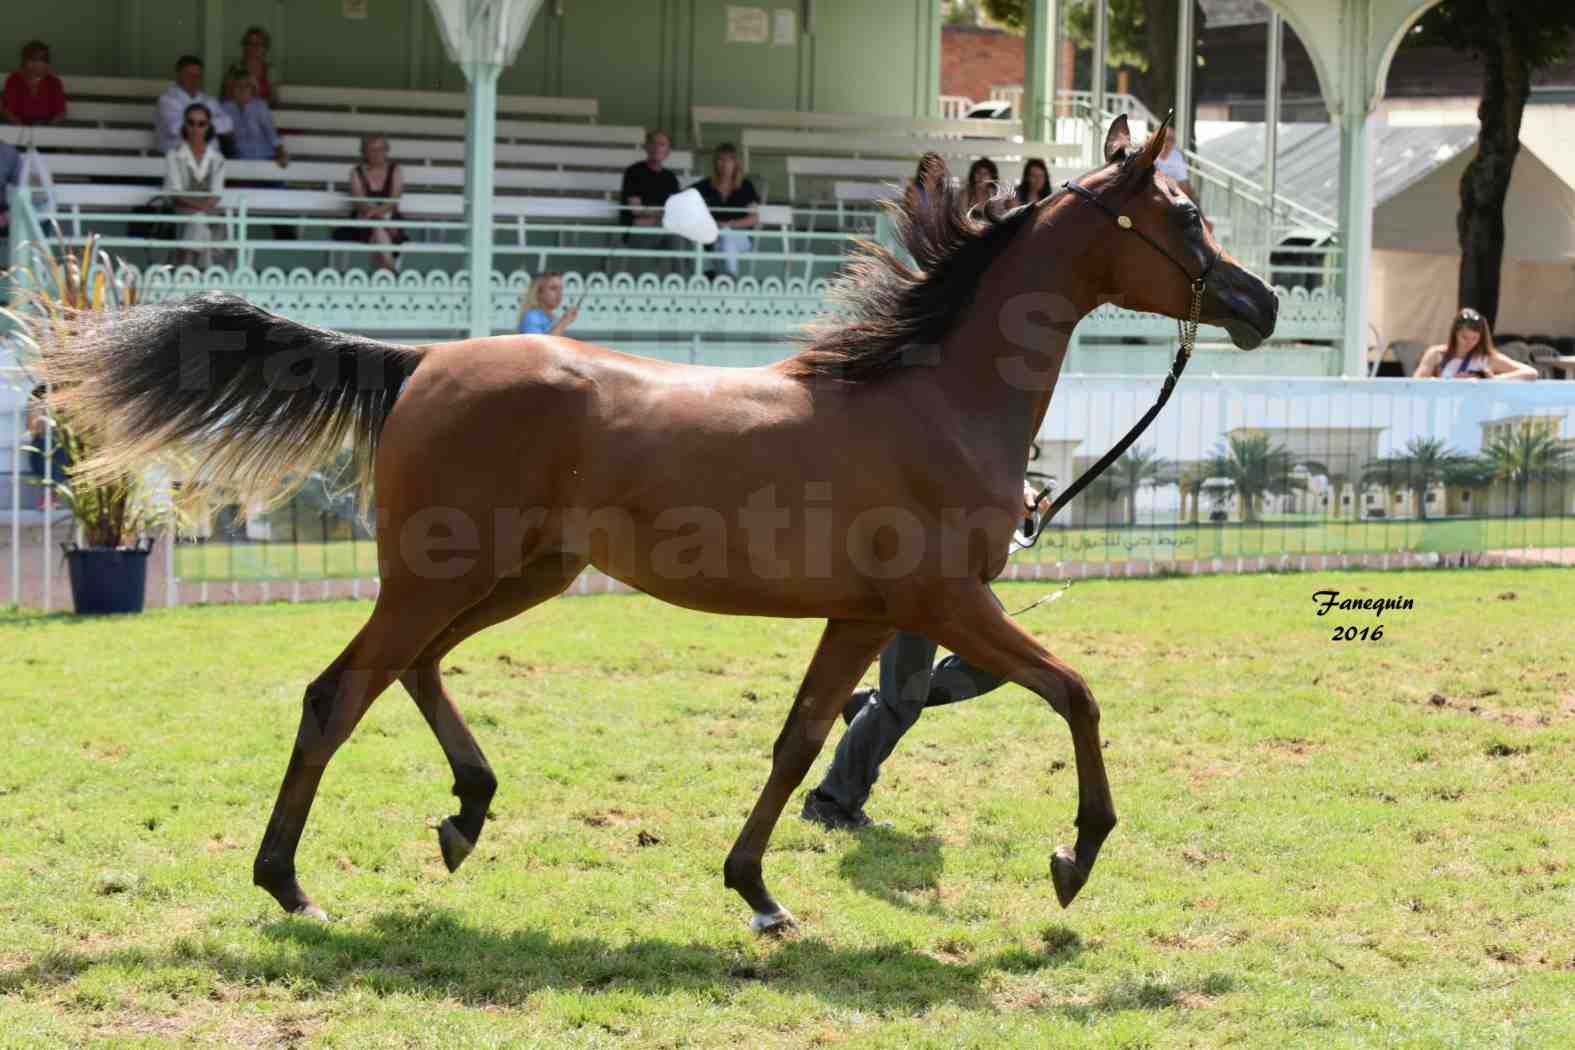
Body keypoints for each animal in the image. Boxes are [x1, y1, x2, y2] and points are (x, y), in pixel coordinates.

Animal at [43, 117, 1278, 938]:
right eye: (1183, 217)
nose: (1258, 304)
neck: (931, 397)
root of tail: (423, 359)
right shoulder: (949, 603)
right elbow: (1077, 692)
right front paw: (1074, 855)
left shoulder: (859, 615)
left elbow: (799, 740)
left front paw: (758, 892)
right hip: (442, 574)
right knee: (338, 694)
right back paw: (291, 883)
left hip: (519, 574)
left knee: (416, 671)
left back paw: (465, 816)